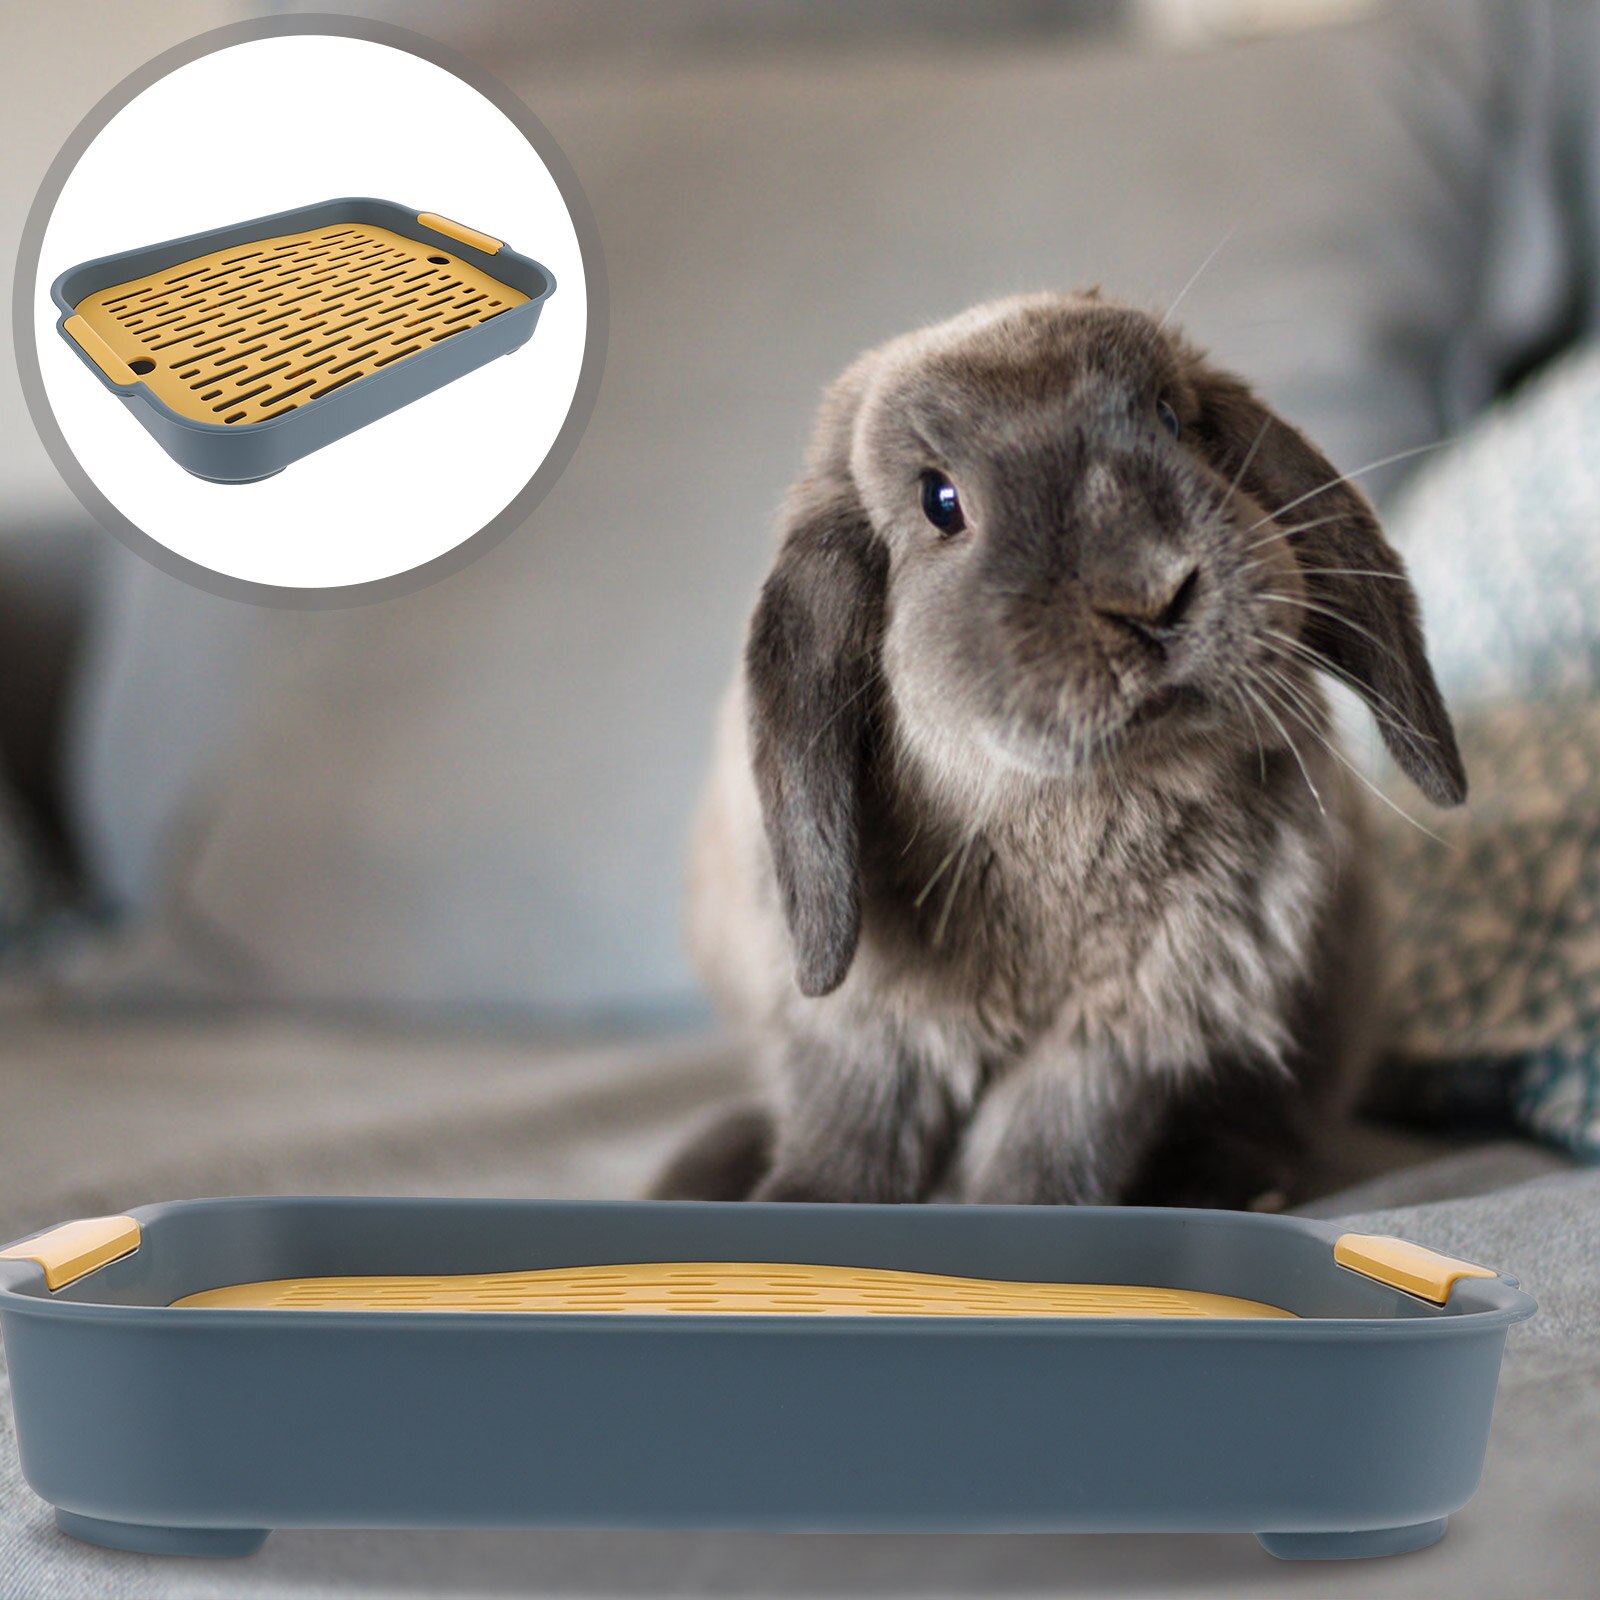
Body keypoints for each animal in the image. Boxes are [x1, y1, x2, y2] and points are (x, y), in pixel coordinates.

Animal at [651, 291, 1465, 1211]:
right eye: (940, 501)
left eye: (1171, 420)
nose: (1152, 593)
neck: (1068, 812)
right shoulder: (865, 1027)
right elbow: (852, 1126)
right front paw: (804, 1204)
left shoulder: (1121, 1034)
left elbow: (1050, 1141)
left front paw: (1023, 1216)